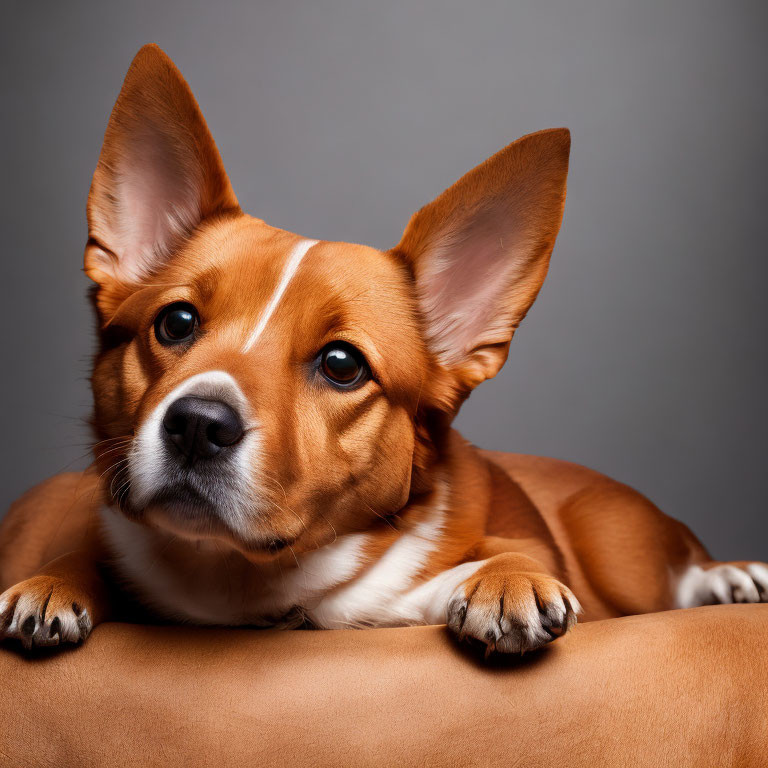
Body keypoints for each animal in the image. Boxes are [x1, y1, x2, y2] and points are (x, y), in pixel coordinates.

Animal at [1, 43, 768, 656]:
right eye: (177, 323)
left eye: (342, 365)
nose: (197, 425)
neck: (252, 584)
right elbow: (87, 558)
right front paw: (53, 581)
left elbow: (513, 551)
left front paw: (510, 581)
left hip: (616, 537)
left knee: (674, 574)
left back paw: (730, 578)